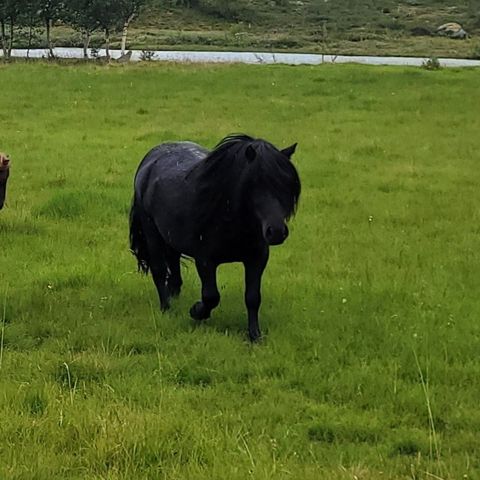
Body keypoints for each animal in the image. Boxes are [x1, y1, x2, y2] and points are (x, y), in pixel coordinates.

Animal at [130, 133, 300, 340]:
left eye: (286, 184)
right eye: (255, 183)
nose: (275, 232)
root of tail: (150, 158)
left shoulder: (257, 258)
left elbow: (253, 298)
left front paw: (254, 335)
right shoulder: (205, 260)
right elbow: (211, 296)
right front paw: (196, 311)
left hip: (170, 237)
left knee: (174, 265)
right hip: (152, 232)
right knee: (159, 270)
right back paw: (167, 308)